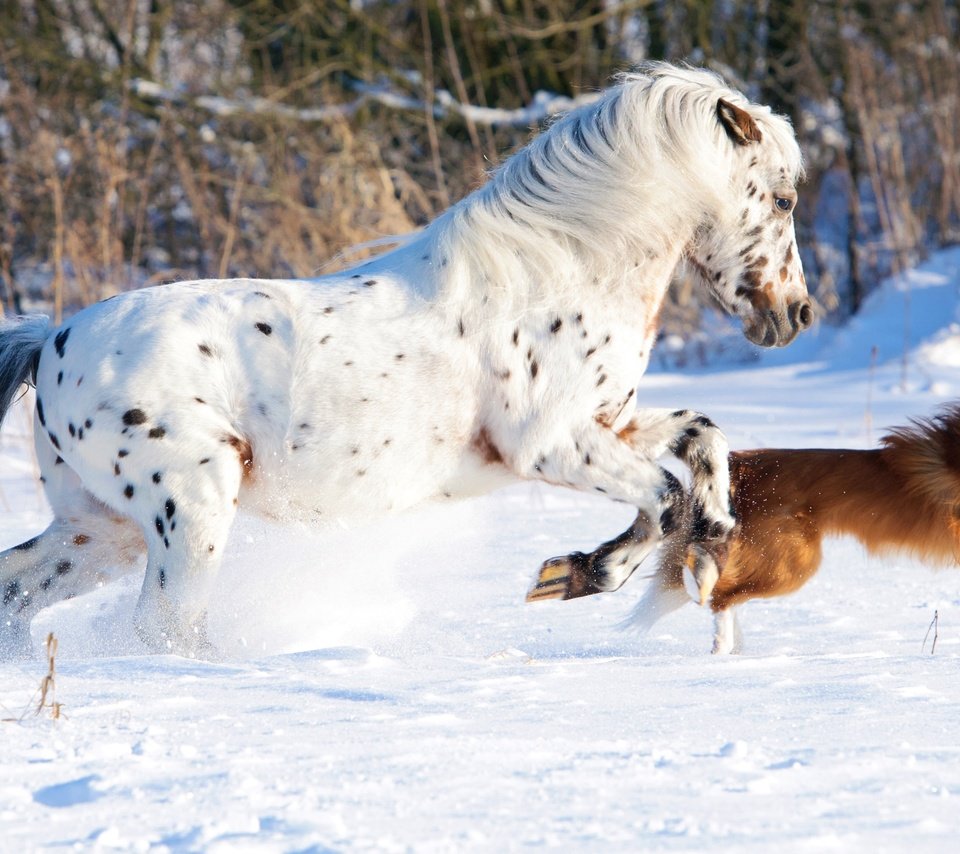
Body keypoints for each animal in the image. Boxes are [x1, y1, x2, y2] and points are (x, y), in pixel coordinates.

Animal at [0, 63, 808, 660]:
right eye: (784, 199)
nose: (795, 315)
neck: (559, 271)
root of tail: (54, 339)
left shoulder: (609, 423)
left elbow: (702, 437)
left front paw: (712, 538)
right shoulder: (550, 447)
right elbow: (662, 498)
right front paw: (574, 576)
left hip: (100, 529)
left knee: (17, 590)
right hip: (190, 511)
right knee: (166, 629)